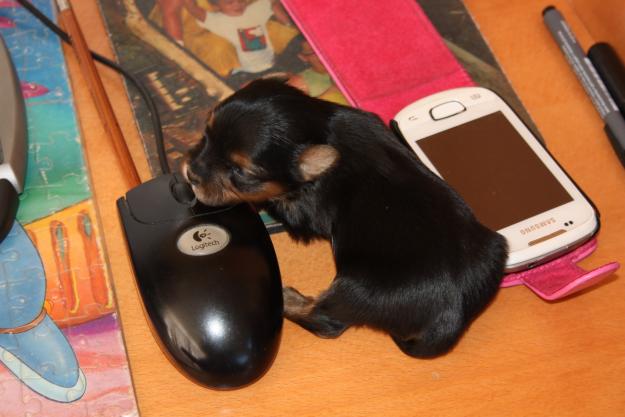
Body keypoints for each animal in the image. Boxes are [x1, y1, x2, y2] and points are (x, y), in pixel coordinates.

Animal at [184, 78, 508, 358]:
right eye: (206, 134)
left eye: (241, 173)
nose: (191, 173)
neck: (323, 127)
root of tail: (452, 317)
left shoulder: (304, 209)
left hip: (359, 288)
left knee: (326, 320)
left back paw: (286, 298)